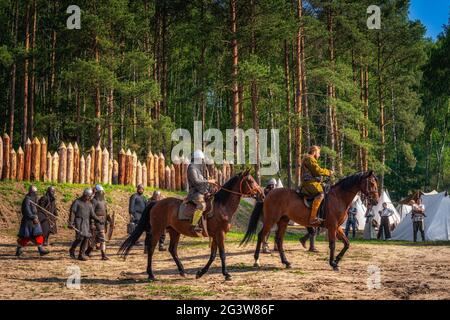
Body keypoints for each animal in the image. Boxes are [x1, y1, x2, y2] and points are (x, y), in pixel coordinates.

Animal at [118, 169, 264, 282]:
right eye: (250, 181)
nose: (262, 195)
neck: (222, 206)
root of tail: (156, 203)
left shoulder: (215, 235)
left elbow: (213, 255)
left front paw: (200, 273)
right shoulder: (220, 234)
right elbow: (222, 254)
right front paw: (226, 274)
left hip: (174, 231)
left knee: (172, 250)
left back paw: (182, 271)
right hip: (157, 230)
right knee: (151, 249)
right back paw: (151, 274)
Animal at [241, 171, 378, 272]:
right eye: (371, 183)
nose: (376, 201)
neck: (339, 197)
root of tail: (268, 193)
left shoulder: (338, 227)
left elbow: (347, 243)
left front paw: (337, 260)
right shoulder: (332, 226)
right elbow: (333, 244)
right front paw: (333, 263)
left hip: (283, 221)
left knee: (279, 240)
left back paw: (286, 262)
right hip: (270, 220)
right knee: (261, 236)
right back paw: (256, 260)